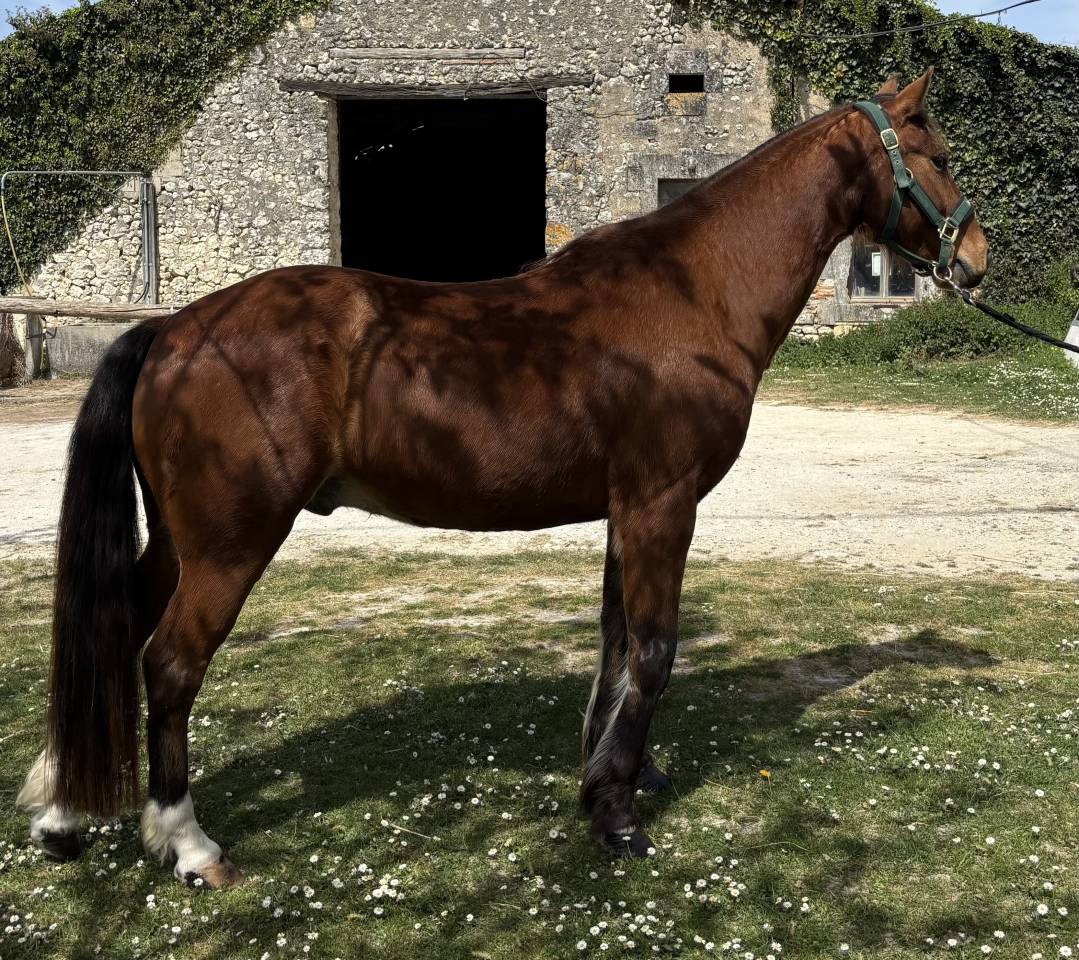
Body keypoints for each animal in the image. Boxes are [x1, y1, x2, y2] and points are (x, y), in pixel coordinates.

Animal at [18, 69, 989, 888]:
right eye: (938, 157)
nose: (976, 257)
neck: (691, 293)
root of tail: (176, 329)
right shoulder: (662, 504)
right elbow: (653, 650)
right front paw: (617, 816)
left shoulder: (626, 510)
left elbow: (612, 645)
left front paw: (613, 777)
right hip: (229, 546)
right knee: (170, 665)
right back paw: (188, 844)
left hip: (176, 541)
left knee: (111, 629)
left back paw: (63, 812)